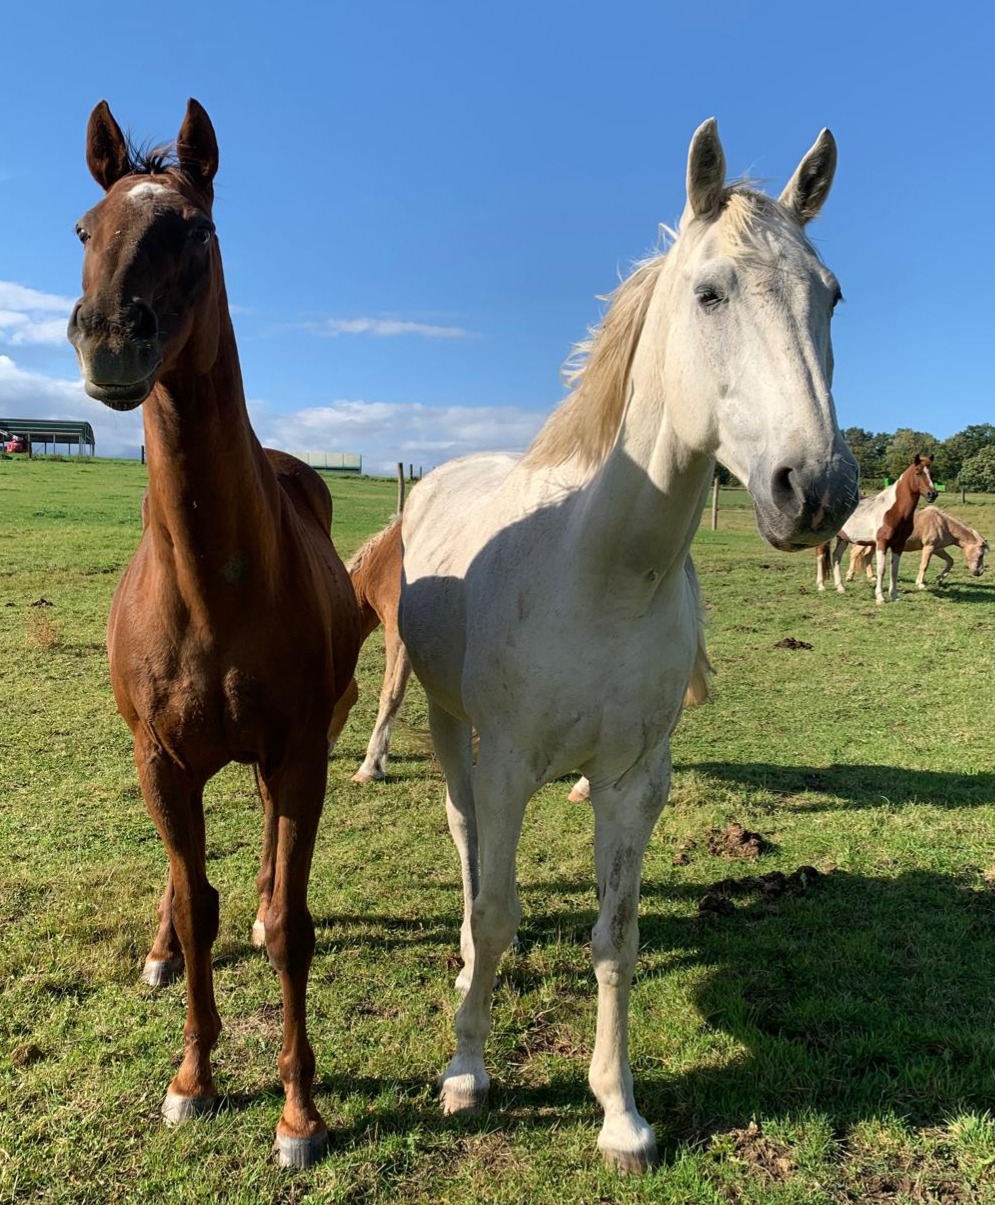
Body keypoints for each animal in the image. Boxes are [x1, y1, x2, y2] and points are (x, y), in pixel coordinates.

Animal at [67, 99, 361, 1169]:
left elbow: (290, 924)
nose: (112, 338)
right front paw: (193, 1076)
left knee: (274, 865)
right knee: (182, 881)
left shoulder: (298, 754)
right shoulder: (159, 758)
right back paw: (156, 950)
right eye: (84, 229)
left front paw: (298, 1110)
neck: (210, 588)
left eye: (195, 230)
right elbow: (198, 908)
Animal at [398, 119, 859, 1172]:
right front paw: (466, 1069)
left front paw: (620, 1114)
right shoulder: (507, 761)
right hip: (447, 724)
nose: (815, 490)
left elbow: (617, 937)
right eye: (709, 291)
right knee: (465, 841)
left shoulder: (632, 780)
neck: (599, 573)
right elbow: (496, 908)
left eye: (831, 295)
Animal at [814, 455, 939, 602]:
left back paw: (840, 587)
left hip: (843, 539)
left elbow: (894, 569)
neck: (893, 510)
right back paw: (821, 585)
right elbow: (881, 569)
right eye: (918, 472)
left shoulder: (898, 544)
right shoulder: (882, 543)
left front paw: (894, 596)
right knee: (821, 556)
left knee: (836, 556)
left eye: (932, 473)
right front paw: (880, 597)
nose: (932, 494)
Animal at [844, 505, 988, 588]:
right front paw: (920, 583)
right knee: (854, 553)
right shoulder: (929, 547)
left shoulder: (937, 548)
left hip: (873, 544)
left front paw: (939, 579)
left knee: (867, 556)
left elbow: (950, 561)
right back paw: (849, 576)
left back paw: (872, 577)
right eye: (981, 555)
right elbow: (924, 565)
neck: (943, 523)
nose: (979, 572)